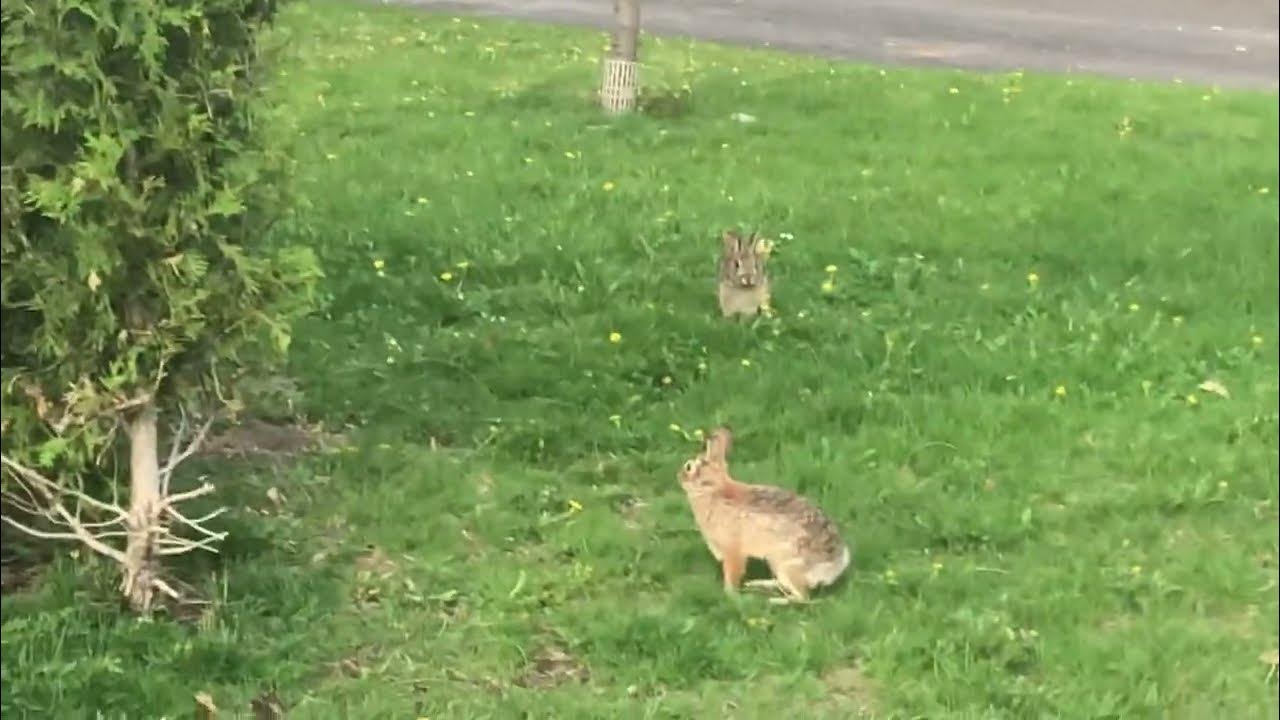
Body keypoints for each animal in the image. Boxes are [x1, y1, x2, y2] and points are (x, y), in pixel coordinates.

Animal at [677, 426, 851, 603]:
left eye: (688, 467)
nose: (679, 476)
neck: (713, 490)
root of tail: (834, 566)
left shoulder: (732, 550)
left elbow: (733, 573)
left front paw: (729, 595)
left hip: (785, 563)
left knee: (802, 597)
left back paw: (774, 600)